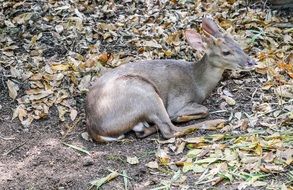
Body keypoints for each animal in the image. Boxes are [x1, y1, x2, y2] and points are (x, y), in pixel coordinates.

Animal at [84, 17, 253, 142]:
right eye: (226, 52)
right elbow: (204, 109)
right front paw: (182, 116)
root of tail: (95, 130)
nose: (250, 62)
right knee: (170, 130)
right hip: (145, 93)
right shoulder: (177, 100)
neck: (197, 83)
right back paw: (217, 123)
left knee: (143, 131)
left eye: (237, 43)